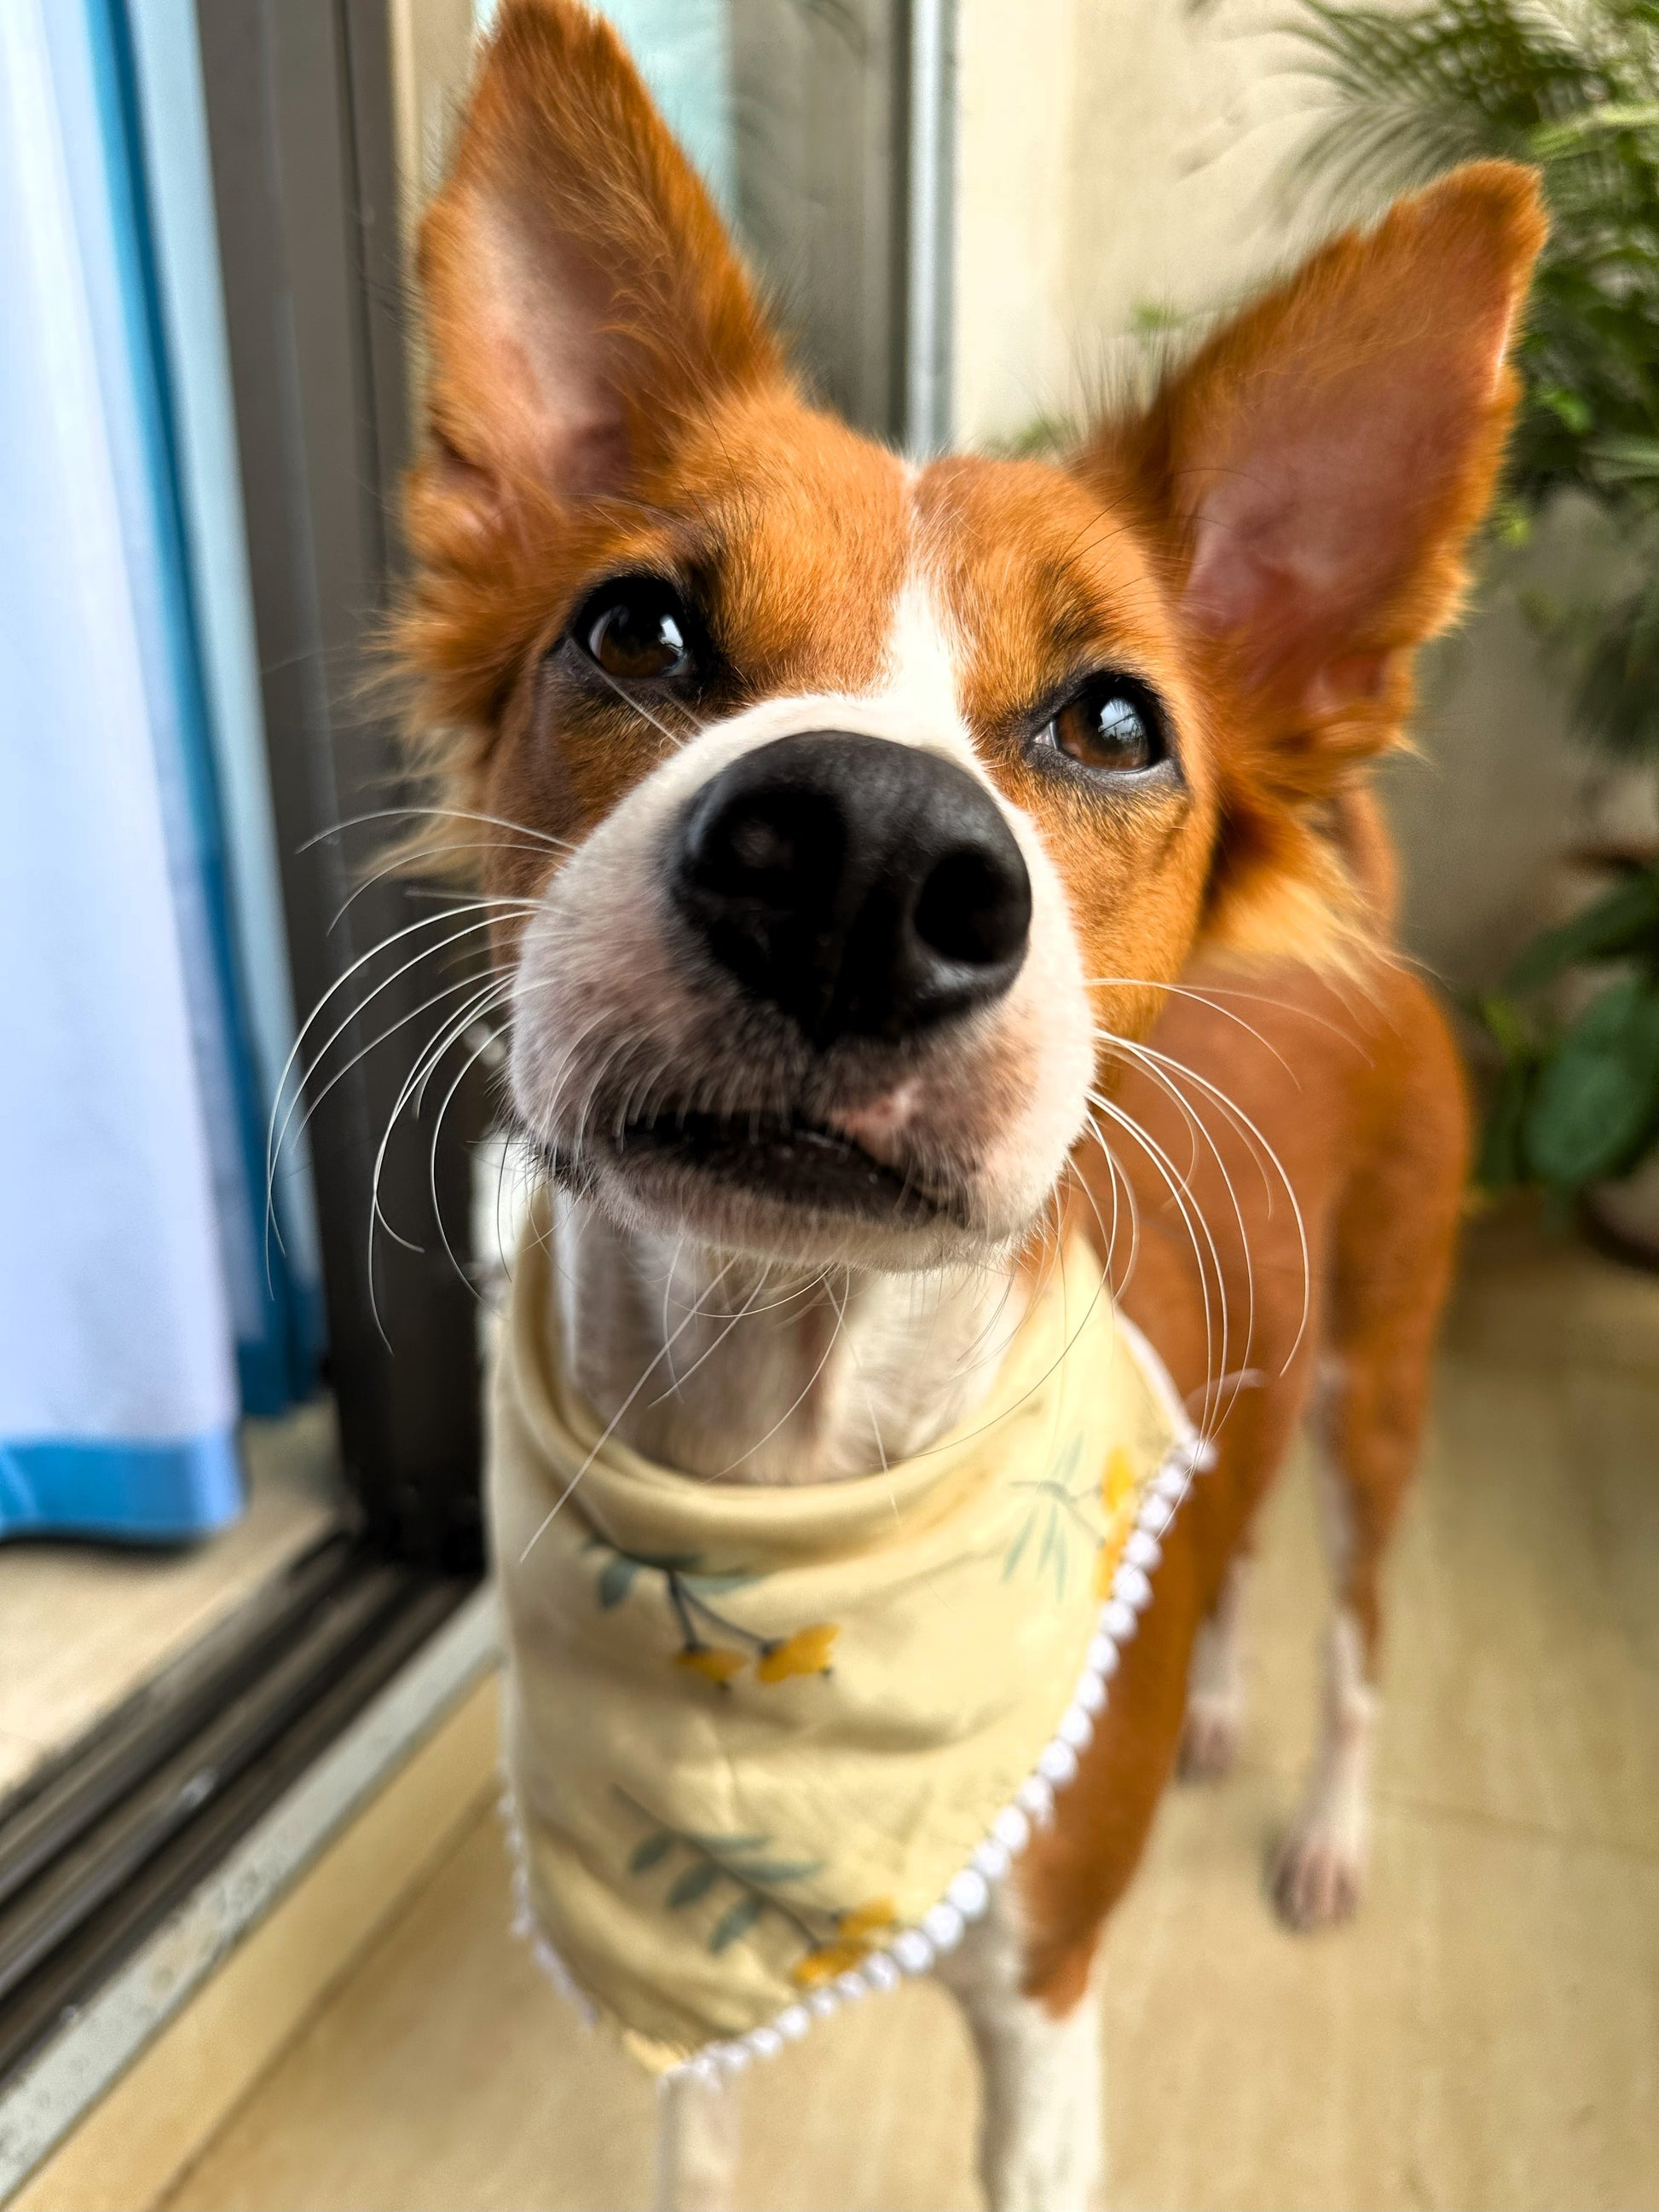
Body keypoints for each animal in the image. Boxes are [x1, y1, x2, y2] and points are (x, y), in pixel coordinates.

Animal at [396, 9, 1557, 2203]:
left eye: (1113, 721)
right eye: (635, 624)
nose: (861, 855)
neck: (786, 1474)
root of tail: (1355, 920)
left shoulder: (1044, 2010)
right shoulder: (694, 2013)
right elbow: (695, 2142)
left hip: (1379, 1383)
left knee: (1359, 1627)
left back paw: (1324, 1823)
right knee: (1238, 1544)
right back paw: (1209, 1696)